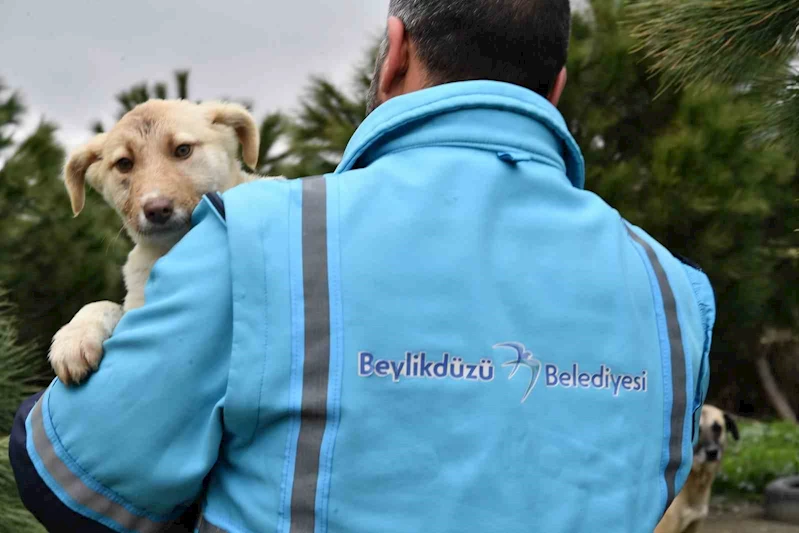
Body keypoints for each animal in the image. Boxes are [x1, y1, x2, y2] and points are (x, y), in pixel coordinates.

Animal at [49, 98, 282, 382]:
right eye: (124, 163)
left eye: (182, 150)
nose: (157, 209)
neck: (170, 247)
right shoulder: (135, 307)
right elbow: (102, 303)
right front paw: (74, 337)